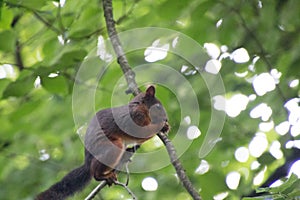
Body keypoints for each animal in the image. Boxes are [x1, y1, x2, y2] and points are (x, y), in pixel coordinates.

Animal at [35, 86, 169, 200]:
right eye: (158, 106)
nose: (166, 118)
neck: (140, 107)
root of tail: (87, 162)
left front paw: (166, 126)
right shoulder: (135, 117)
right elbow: (140, 132)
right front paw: (161, 125)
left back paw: (126, 155)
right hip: (111, 147)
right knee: (95, 171)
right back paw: (103, 175)